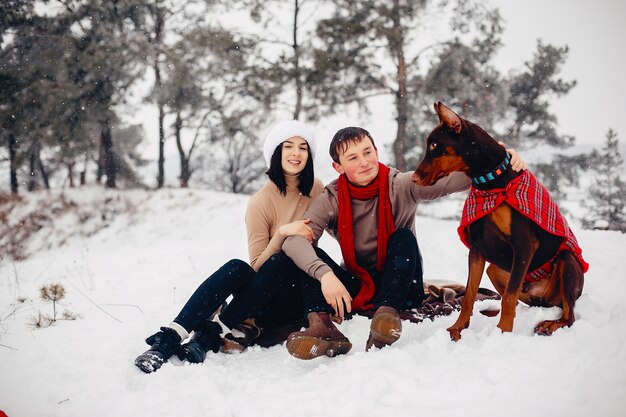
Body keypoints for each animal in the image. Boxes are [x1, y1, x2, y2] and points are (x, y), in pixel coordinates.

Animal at [412, 102, 584, 340]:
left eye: (435, 144)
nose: (413, 178)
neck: (489, 181)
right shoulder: (477, 249)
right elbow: (469, 294)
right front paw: (458, 328)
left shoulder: (524, 245)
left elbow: (509, 296)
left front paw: (502, 332)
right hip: (495, 268)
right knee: (521, 302)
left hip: (566, 261)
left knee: (569, 315)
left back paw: (548, 325)